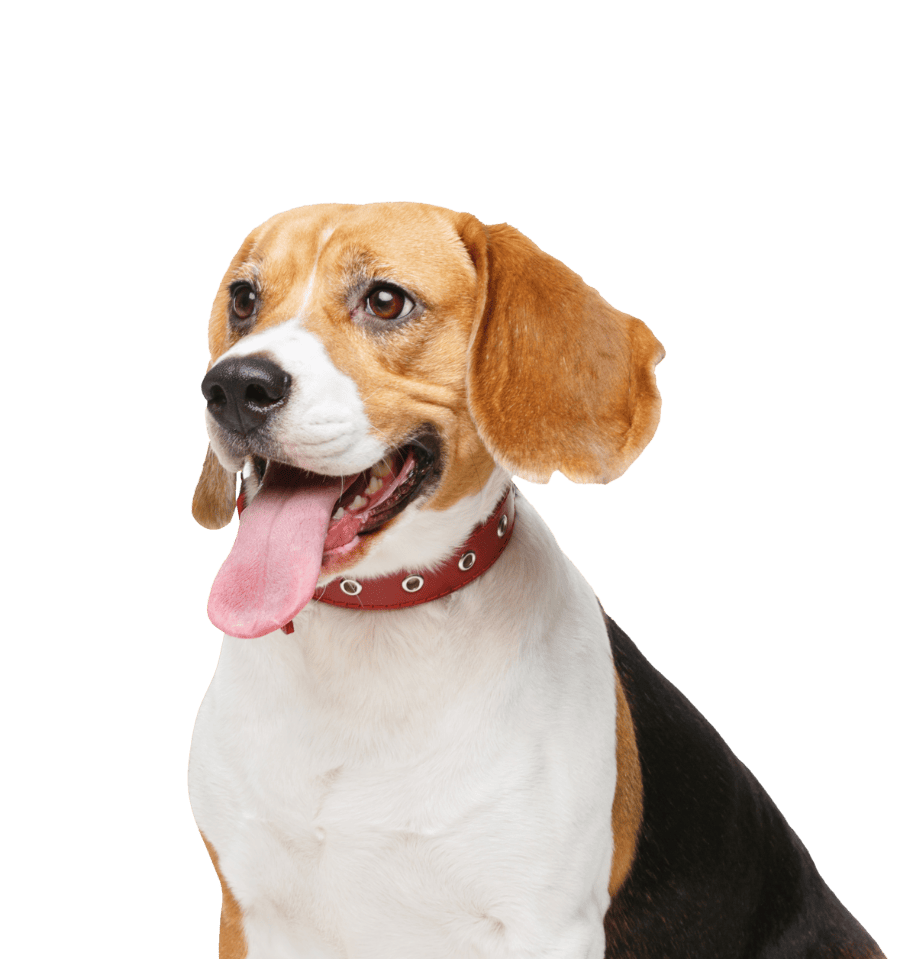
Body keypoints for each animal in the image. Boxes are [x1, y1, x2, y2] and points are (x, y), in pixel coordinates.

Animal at [188, 202, 885, 958]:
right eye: (243, 298)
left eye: (385, 300)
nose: (234, 386)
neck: (378, 629)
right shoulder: (251, 911)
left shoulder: (545, 924)